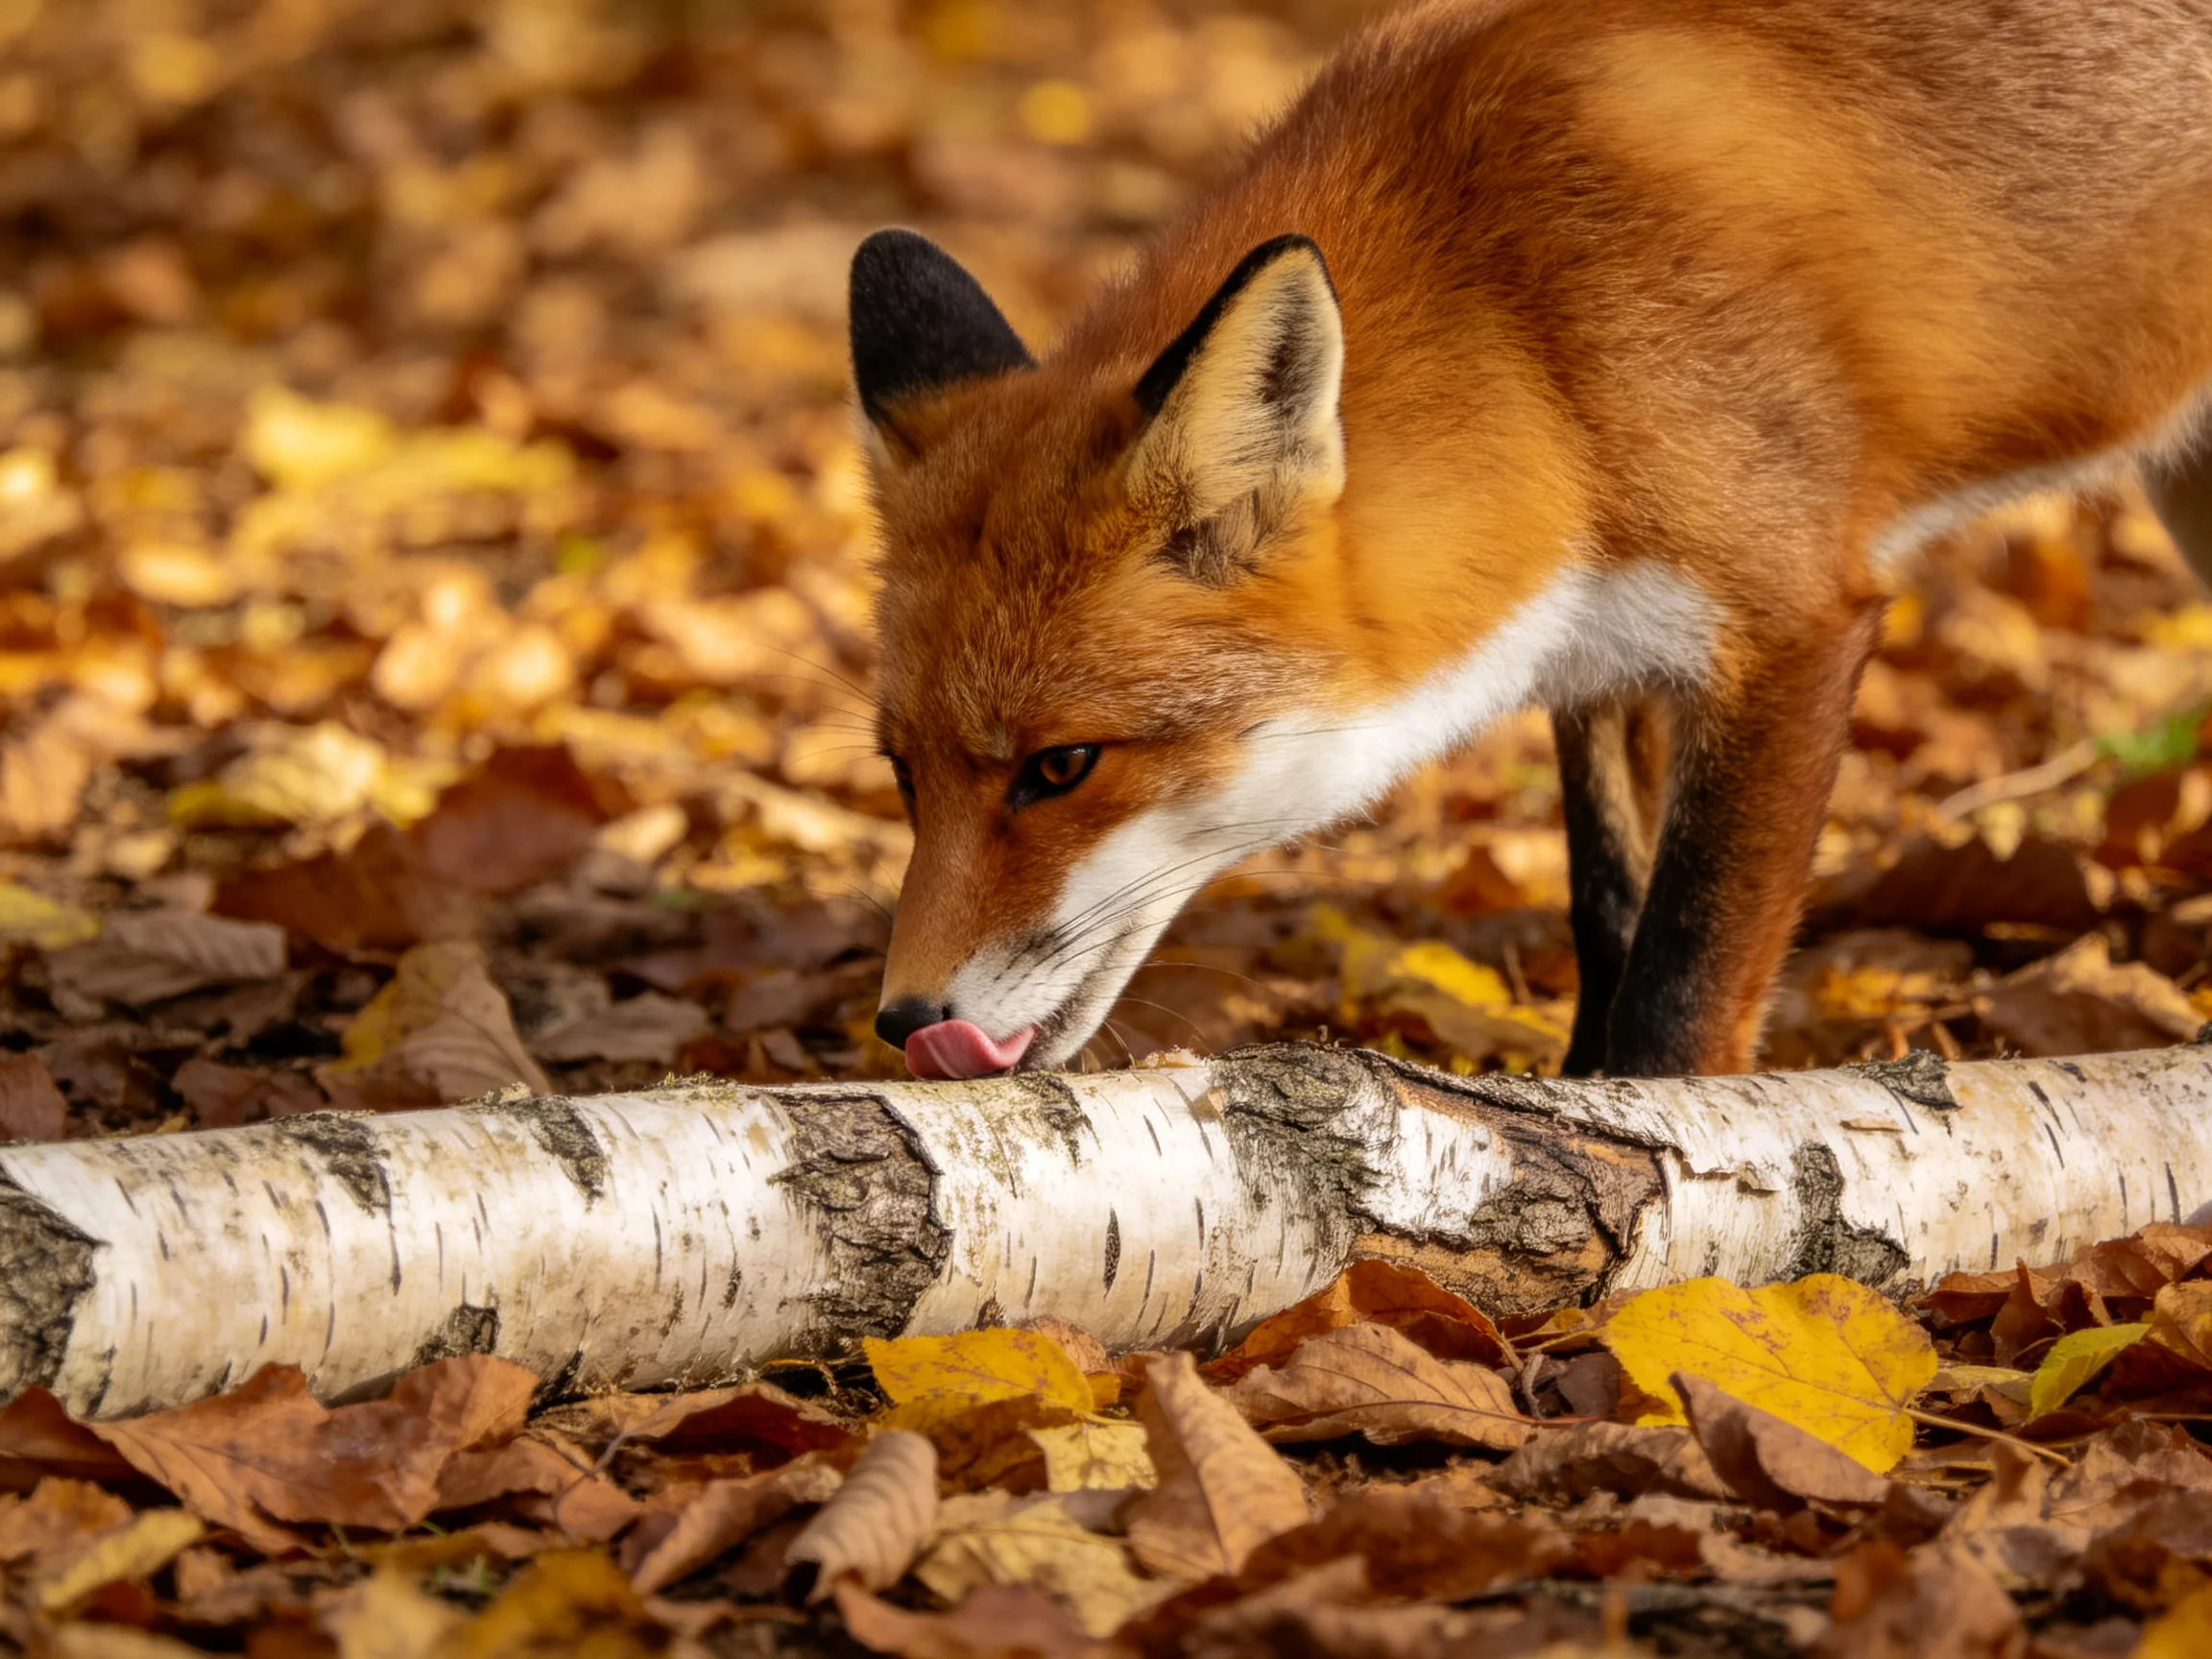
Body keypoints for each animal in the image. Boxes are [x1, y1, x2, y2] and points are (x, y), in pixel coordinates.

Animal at [849, 0, 2212, 1084]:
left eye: (1062, 767)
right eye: (904, 777)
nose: (903, 1020)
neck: (1537, 342)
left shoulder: (1790, 628)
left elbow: (1681, 992)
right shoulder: (1605, 649)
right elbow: (1608, 913)